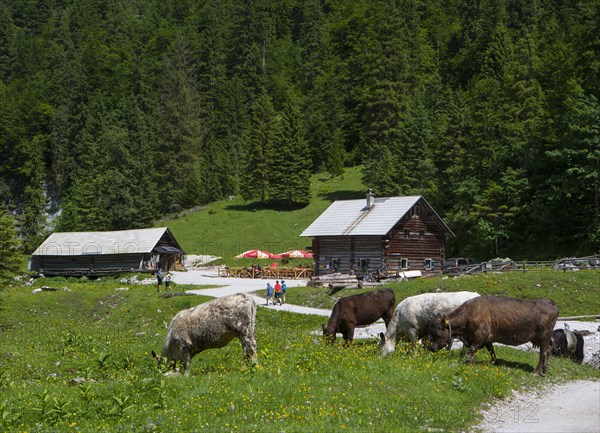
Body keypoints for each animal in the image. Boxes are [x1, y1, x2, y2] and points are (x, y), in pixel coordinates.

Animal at [426, 296, 556, 372]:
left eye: (437, 333)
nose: (431, 348)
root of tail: (550, 303)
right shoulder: (487, 339)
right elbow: (491, 351)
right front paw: (495, 362)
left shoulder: (480, 335)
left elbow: (472, 349)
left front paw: (469, 363)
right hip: (543, 338)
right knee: (549, 350)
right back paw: (545, 370)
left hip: (544, 337)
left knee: (543, 353)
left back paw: (536, 372)